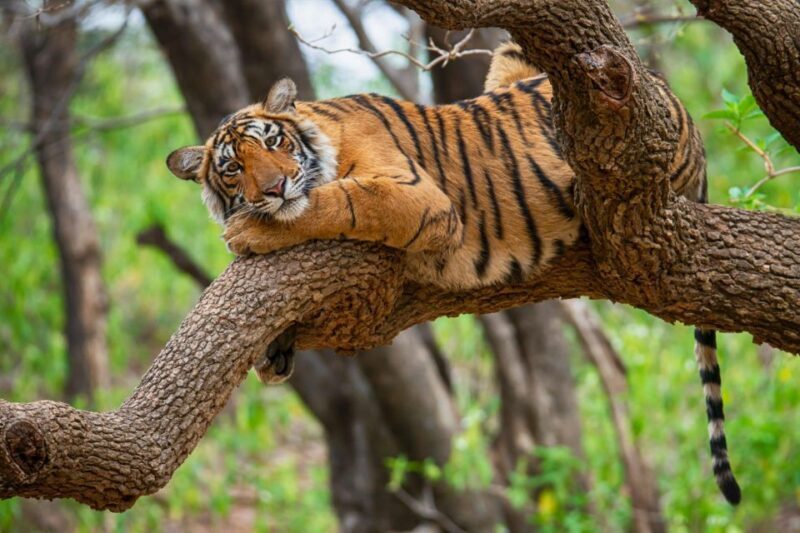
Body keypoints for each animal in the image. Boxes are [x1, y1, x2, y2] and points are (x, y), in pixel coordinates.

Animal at [165, 42, 740, 504]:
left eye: (275, 144)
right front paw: (274, 348)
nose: (274, 188)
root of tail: (683, 110)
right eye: (233, 167)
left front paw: (249, 231)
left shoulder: (416, 196)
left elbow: (331, 203)